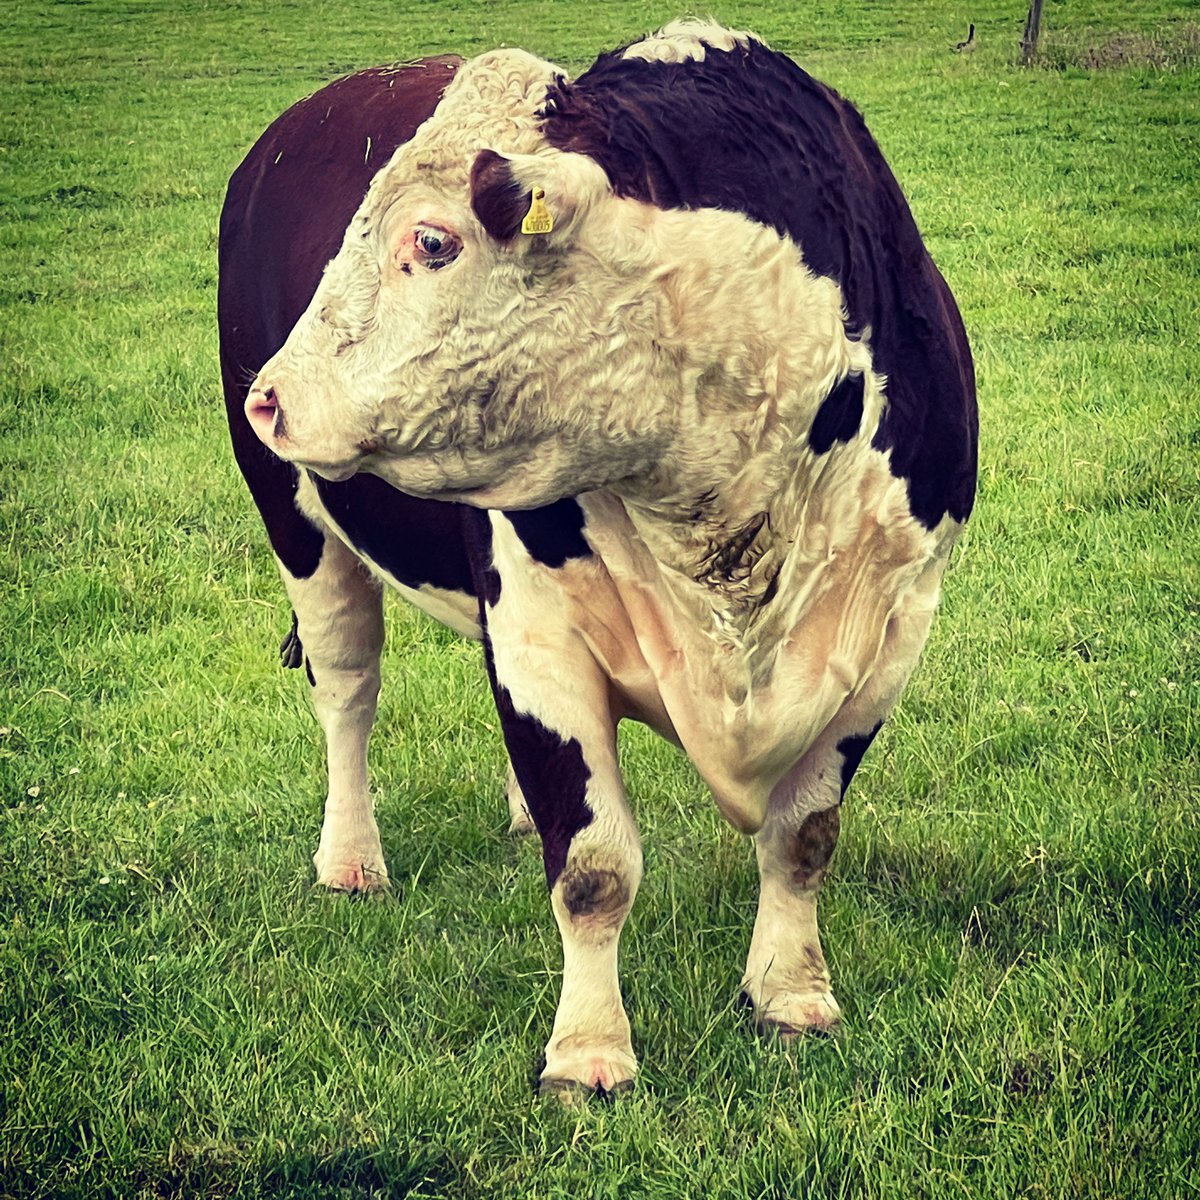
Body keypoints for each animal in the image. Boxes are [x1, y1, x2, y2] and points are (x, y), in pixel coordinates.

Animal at [218, 21, 977, 1098]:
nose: (273, 394)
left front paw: (792, 993)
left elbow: (804, 836)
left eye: (433, 241)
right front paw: (587, 1050)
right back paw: (351, 859)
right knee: (347, 688)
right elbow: (594, 866)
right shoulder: (541, 642)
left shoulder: (888, 637)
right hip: (299, 527)